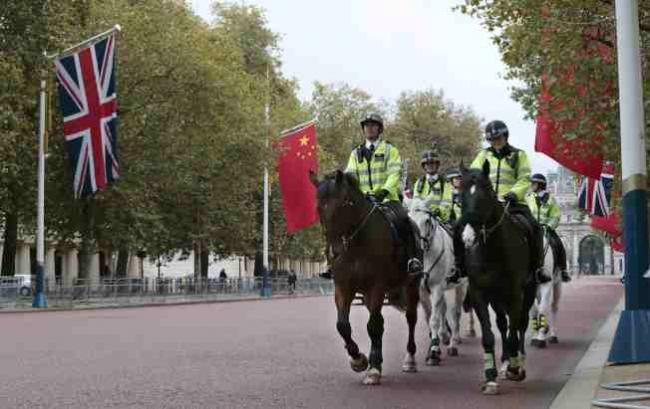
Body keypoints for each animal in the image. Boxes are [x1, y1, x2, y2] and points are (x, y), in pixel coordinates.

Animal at [310, 167, 420, 384]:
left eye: (345, 201)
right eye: (318, 207)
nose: (333, 252)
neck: (356, 244)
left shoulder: (376, 286)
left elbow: (373, 326)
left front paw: (373, 368)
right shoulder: (344, 287)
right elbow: (343, 325)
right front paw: (358, 359)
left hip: (411, 285)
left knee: (410, 318)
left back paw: (409, 359)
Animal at [410, 198, 466, 364]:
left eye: (427, 220)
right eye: (409, 220)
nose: (418, 245)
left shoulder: (437, 287)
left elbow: (434, 319)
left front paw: (434, 351)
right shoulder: (422, 290)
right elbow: (429, 316)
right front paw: (435, 345)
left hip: (461, 286)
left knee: (455, 312)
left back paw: (453, 343)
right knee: (444, 309)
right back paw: (445, 336)